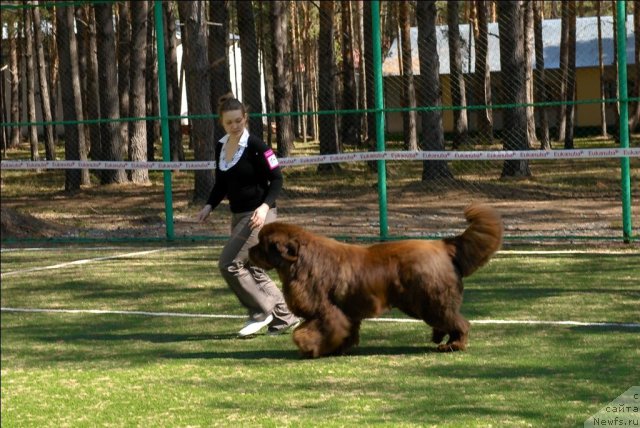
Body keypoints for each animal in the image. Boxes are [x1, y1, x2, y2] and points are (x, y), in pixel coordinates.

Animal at [248, 204, 502, 358]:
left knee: (459, 322)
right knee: (448, 319)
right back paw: (441, 337)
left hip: (429, 300)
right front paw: (338, 348)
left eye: (262, 245)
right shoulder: (346, 312)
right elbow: (346, 331)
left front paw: (309, 347)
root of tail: (443, 244)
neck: (300, 261)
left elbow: (312, 331)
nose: (249, 251)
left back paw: (453, 344)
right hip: (424, 302)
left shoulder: (326, 312)